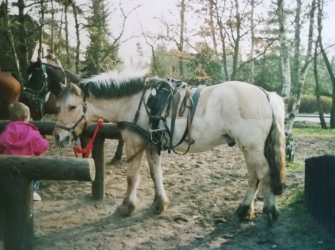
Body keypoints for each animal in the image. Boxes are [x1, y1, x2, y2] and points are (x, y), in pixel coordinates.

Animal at [52, 73, 286, 227]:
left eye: (72, 107)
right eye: (58, 106)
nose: (57, 136)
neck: (135, 102)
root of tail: (265, 94)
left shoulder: (134, 144)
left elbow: (132, 177)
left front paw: (127, 207)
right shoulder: (150, 145)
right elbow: (156, 174)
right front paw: (159, 204)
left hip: (252, 147)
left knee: (264, 174)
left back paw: (270, 212)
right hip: (248, 147)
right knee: (253, 177)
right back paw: (243, 210)